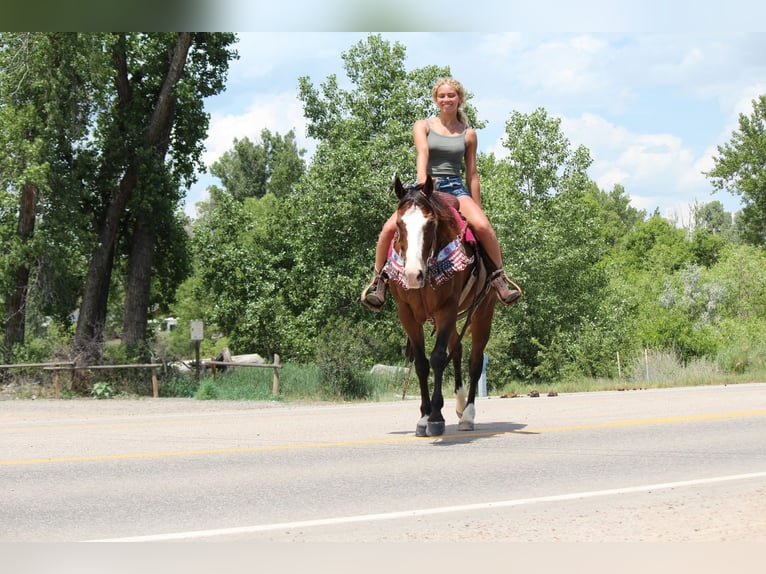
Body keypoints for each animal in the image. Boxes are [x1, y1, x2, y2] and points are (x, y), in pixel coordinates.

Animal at [385, 175, 496, 437]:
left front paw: (436, 417)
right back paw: (459, 404)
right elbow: (422, 363)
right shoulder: (407, 313)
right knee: (457, 350)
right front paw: (424, 417)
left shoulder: (447, 308)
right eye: (399, 225)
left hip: (483, 312)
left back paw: (468, 414)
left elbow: (437, 358)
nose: (413, 275)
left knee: (475, 360)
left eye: (430, 224)